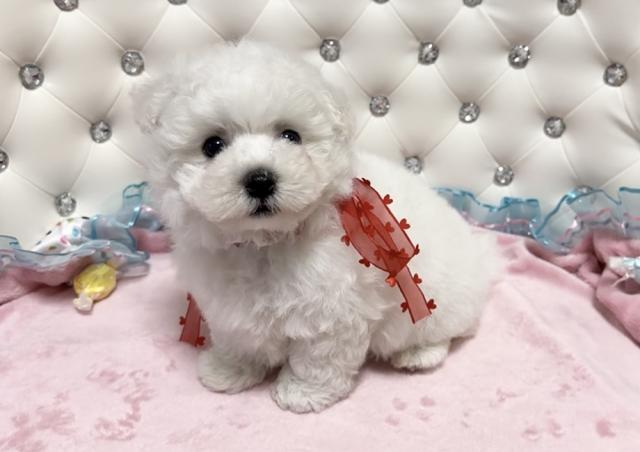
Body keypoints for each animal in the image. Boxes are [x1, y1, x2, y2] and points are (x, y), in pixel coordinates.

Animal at [133, 41, 499, 413]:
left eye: (291, 136)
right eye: (212, 145)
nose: (260, 180)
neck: (264, 242)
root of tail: (480, 259)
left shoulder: (332, 311)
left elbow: (319, 358)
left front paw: (303, 393)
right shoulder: (228, 304)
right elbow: (238, 339)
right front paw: (228, 370)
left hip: (440, 306)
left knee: (446, 332)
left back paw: (418, 354)